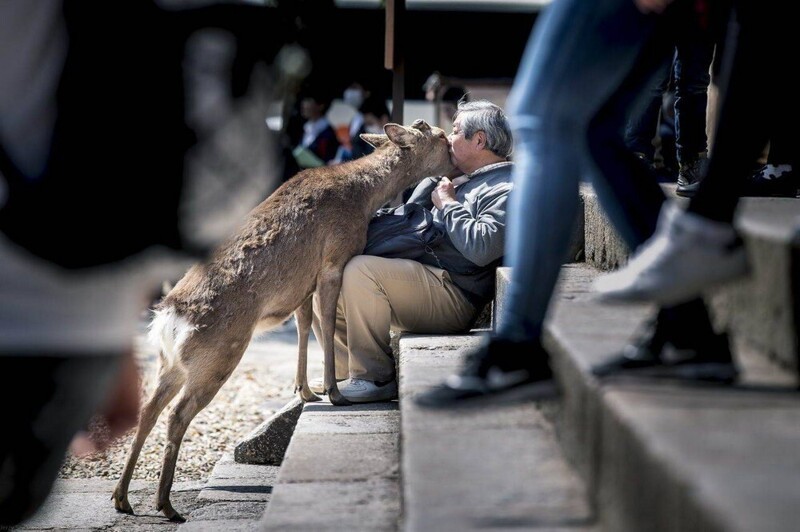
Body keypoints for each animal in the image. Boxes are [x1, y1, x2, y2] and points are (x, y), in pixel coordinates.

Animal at [111, 119, 456, 520]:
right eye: (441, 137)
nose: (453, 157)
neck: (364, 198)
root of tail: (169, 319)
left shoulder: (302, 285)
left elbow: (306, 326)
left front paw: (306, 390)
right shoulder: (332, 262)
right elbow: (325, 323)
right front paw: (335, 393)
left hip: (170, 362)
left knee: (148, 410)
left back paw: (122, 498)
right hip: (218, 356)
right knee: (177, 414)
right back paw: (166, 505)